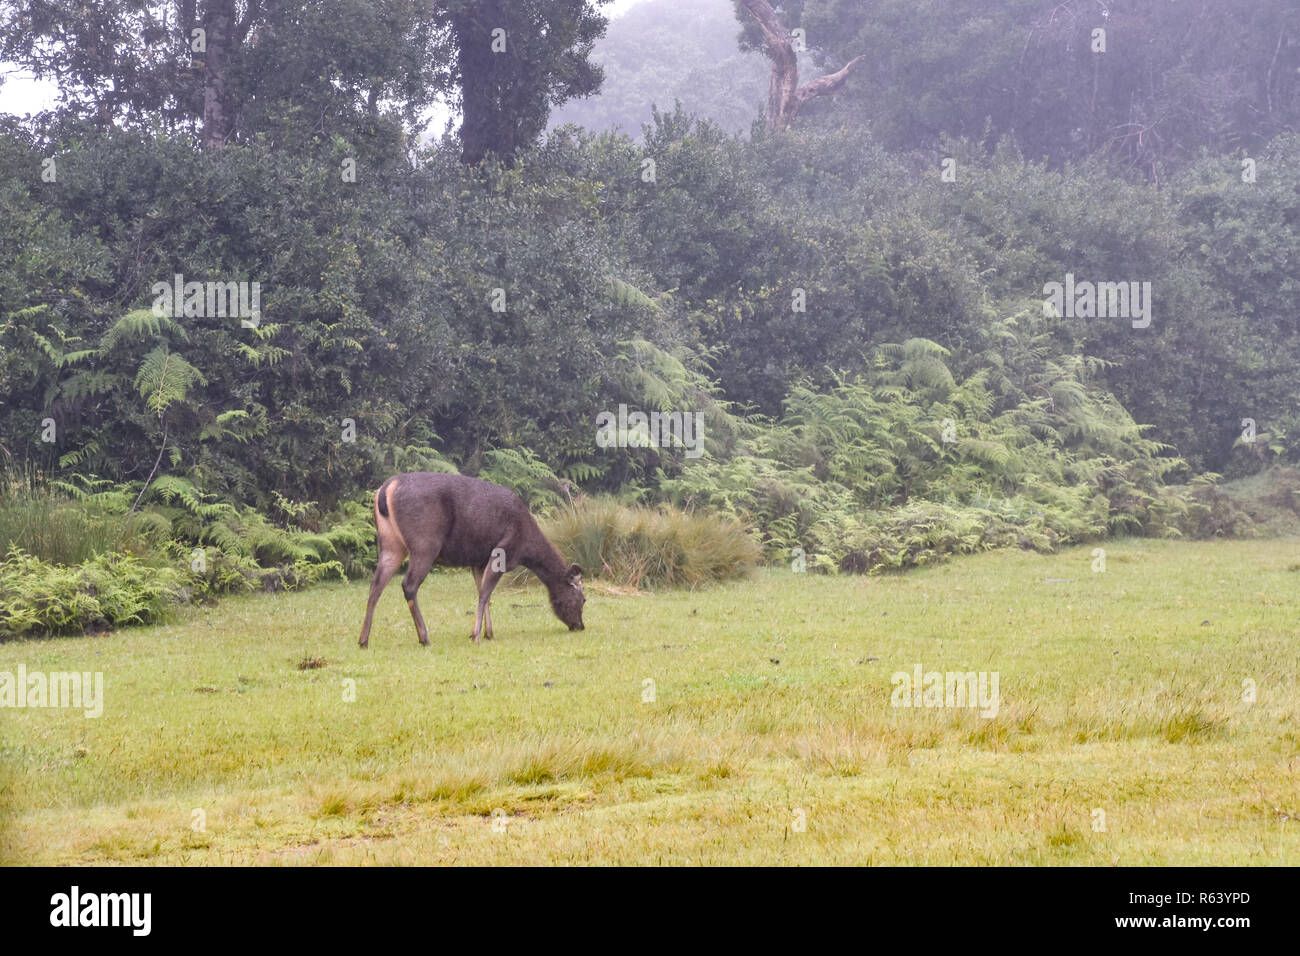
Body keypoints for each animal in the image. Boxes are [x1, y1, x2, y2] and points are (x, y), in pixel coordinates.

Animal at [353, 473, 582, 650]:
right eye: (581, 599)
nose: (580, 626)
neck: (527, 548)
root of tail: (385, 489)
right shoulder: (503, 552)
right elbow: (485, 593)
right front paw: (476, 635)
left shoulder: (478, 560)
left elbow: (484, 593)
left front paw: (488, 632)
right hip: (424, 543)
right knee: (408, 585)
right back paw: (424, 637)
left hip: (390, 543)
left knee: (376, 585)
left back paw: (363, 640)